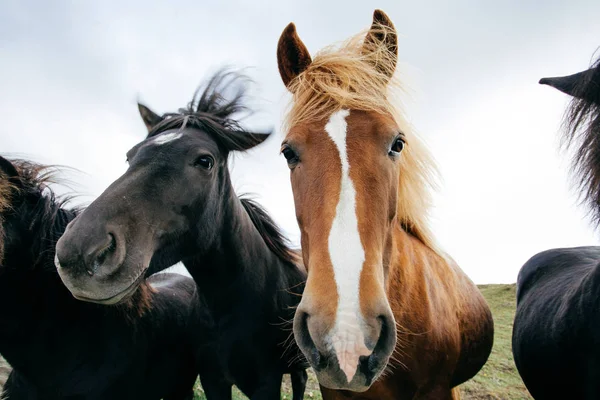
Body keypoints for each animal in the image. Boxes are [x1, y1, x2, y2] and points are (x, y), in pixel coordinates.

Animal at [54, 71, 310, 400]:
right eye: (130, 156)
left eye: (205, 161)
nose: (78, 251)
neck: (230, 303)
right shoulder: (213, 379)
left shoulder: (265, 383)